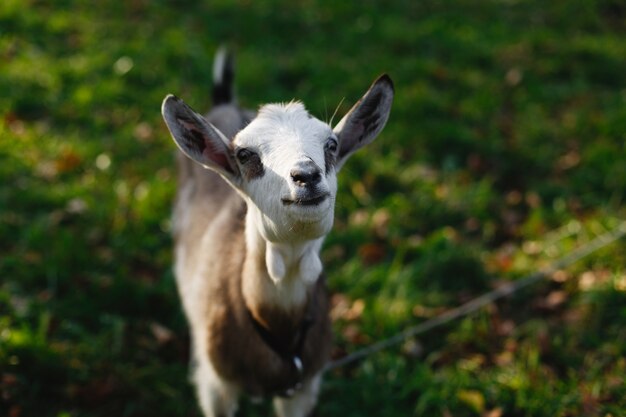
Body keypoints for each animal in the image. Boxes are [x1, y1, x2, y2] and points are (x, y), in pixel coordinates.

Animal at [162, 49, 390, 416]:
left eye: (331, 144)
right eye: (244, 154)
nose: (306, 175)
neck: (277, 323)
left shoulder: (303, 388)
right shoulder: (217, 389)